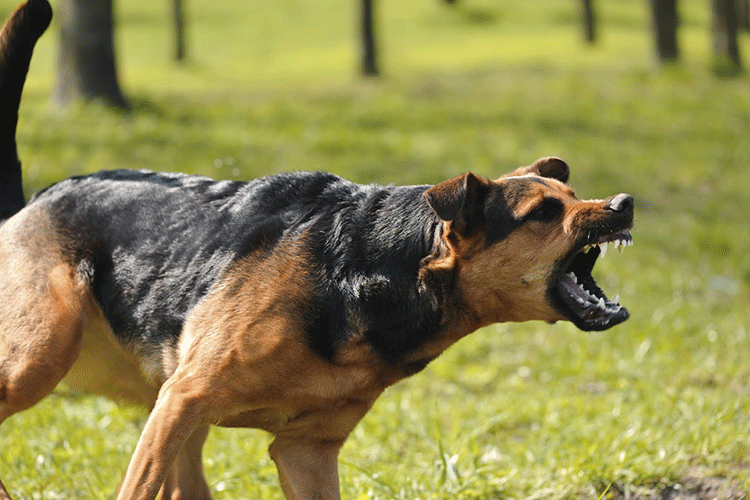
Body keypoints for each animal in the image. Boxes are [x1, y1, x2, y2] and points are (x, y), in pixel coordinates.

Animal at [0, 0, 636, 500]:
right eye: (544, 213)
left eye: (572, 195)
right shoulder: (184, 400)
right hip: (43, 357)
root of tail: (30, 202)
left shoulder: (303, 450)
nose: (625, 202)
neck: (372, 271)